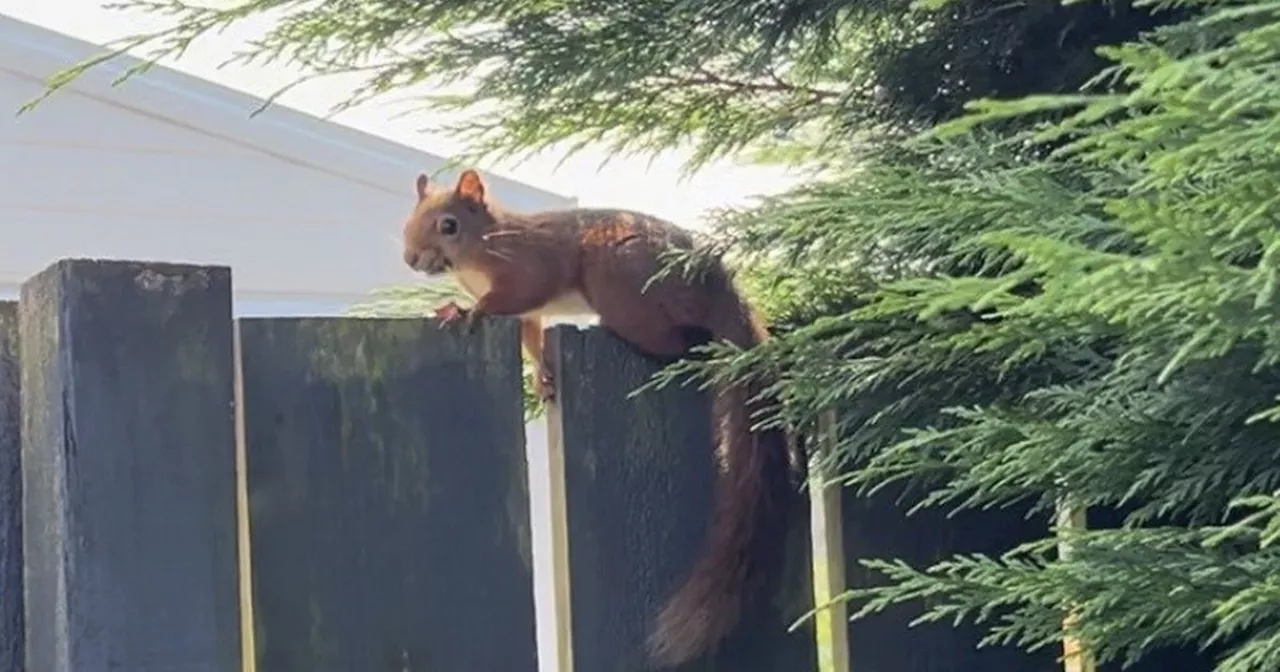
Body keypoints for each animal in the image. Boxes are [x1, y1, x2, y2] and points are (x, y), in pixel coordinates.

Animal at [401, 168, 798, 665]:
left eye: (448, 225)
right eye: (408, 221)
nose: (411, 258)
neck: (483, 246)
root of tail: (719, 286)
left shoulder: (530, 269)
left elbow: (512, 298)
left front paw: (468, 311)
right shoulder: (531, 315)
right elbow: (531, 339)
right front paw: (543, 378)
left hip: (615, 278)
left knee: (674, 342)